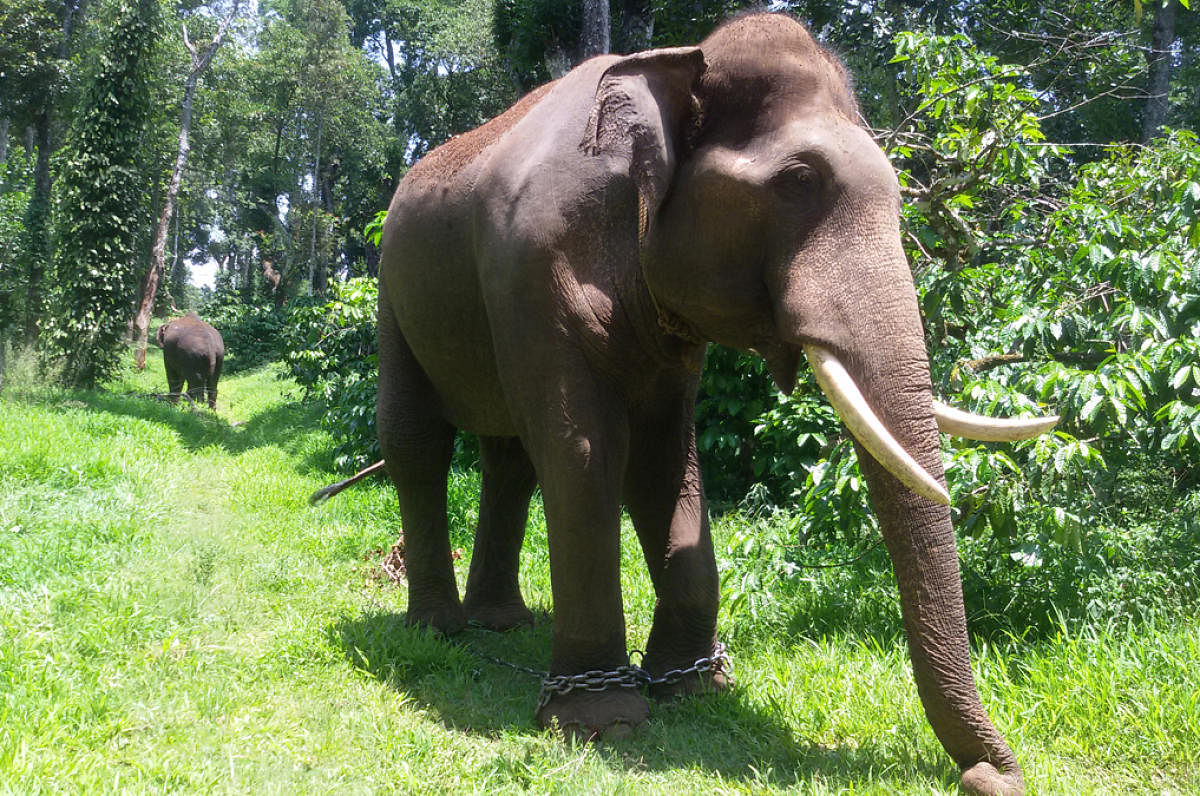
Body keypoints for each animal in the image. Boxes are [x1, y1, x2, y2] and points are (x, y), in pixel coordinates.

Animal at [372, 12, 1051, 796]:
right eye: (799, 180)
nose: (991, 777)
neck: (673, 63)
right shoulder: (528, 270)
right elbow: (584, 448)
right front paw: (602, 721)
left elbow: (663, 453)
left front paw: (694, 687)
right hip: (393, 288)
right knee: (418, 442)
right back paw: (437, 631)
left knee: (507, 457)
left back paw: (503, 624)